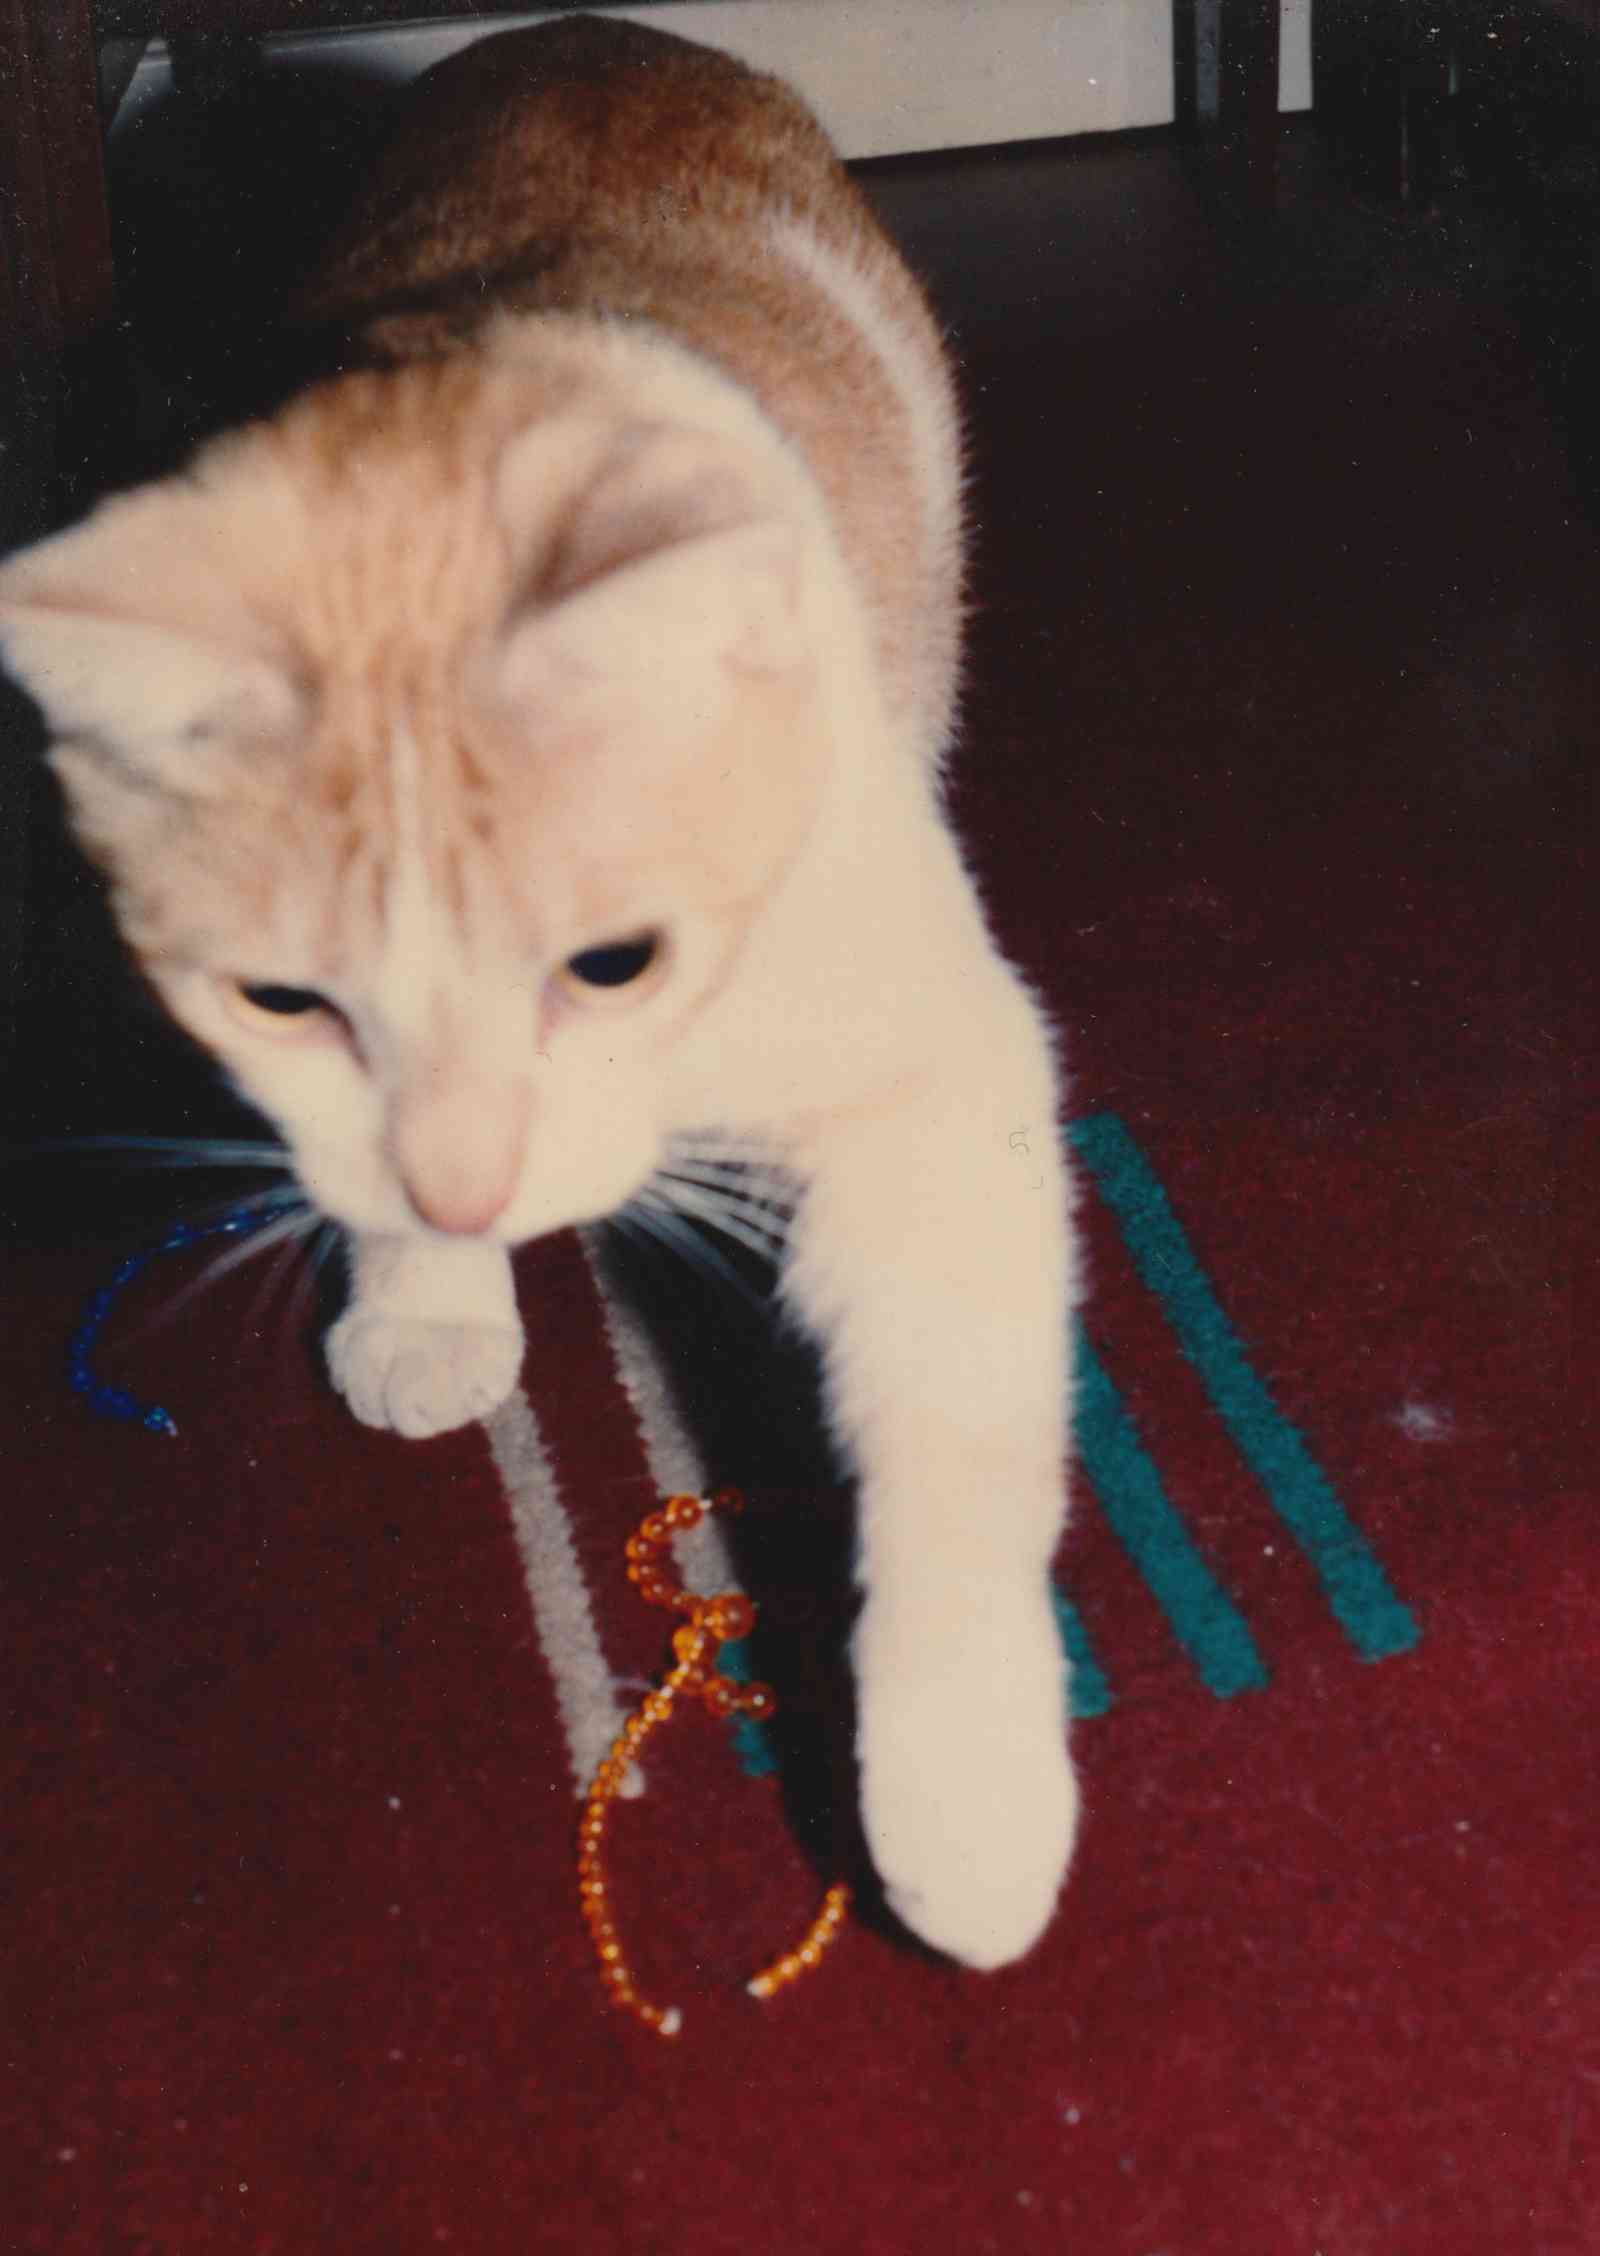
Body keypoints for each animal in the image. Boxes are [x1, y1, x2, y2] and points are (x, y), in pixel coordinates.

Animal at [0, 8, 1078, 1967]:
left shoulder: (937, 1073)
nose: (468, 1190)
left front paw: (966, 1804)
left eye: (610, 964)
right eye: (285, 1003)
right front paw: (428, 1294)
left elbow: (956, 1451)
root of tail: (602, 35)